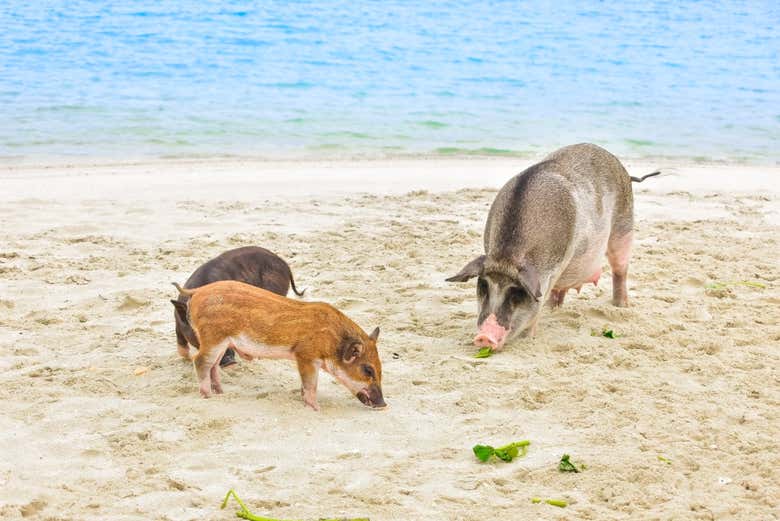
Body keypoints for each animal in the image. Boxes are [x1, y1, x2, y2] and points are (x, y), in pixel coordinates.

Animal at [170, 280, 385, 410]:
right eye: (368, 370)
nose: (384, 404)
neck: (333, 341)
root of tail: (198, 291)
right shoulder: (305, 356)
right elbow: (311, 384)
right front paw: (316, 409)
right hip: (213, 337)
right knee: (200, 361)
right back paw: (208, 397)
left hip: (220, 342)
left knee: (213, 365)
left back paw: (221, 393)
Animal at [446, 143, 659, 351]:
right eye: (483, 286)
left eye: (517, 292)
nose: (484, 337)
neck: (508, 257)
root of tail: (623, 170)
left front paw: (528, 338)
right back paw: (553, 309)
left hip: (624, 226)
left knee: (620, 269)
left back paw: (620, 306)